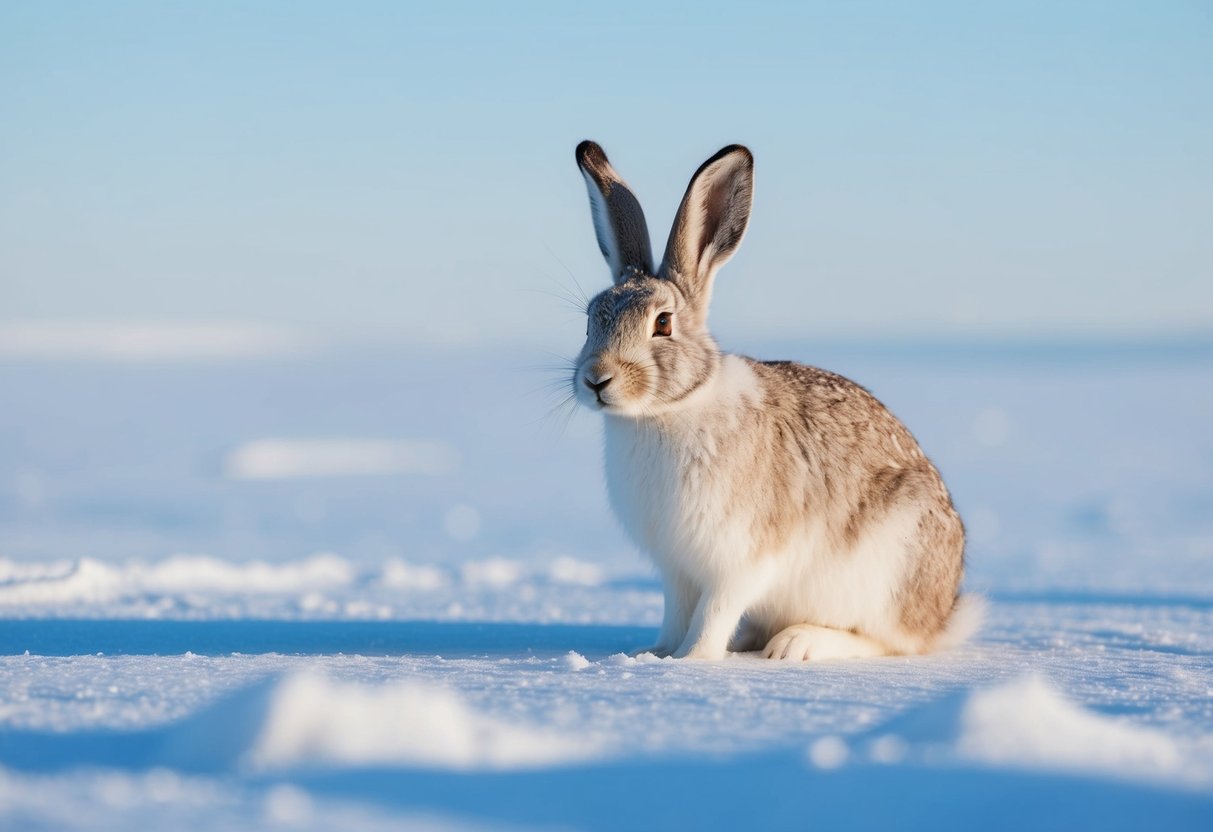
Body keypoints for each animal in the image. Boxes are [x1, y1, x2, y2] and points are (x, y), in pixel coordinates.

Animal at [571, 140, 979, 661]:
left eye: (662, 323)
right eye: (589, 320)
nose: (595, 379)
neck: (669, 410)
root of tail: (943, 612)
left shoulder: (740, 560)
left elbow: (713, 612)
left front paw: (693, 660)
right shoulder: (677, 569)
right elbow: (677, 613)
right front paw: (658, 655)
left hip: (884, 570)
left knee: (890, 642)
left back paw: (796, 644)